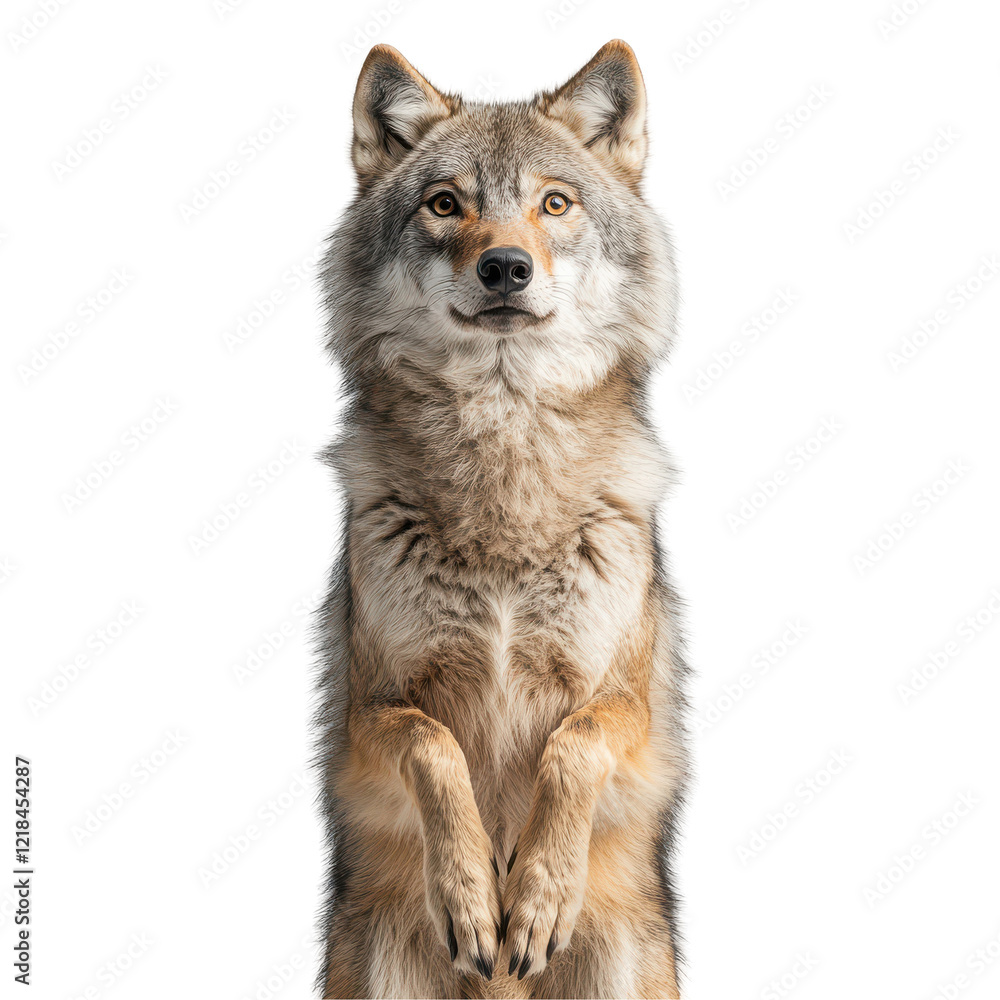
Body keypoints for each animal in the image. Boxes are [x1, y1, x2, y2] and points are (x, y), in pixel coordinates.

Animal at [314, 40, 688, 999]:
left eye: (554, 203)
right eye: (446, 204)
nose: (506, 268)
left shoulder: (625, 707)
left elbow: (575, 745)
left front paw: (537, 899)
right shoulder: (370, 714)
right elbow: (435, 746)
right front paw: (473, 900)